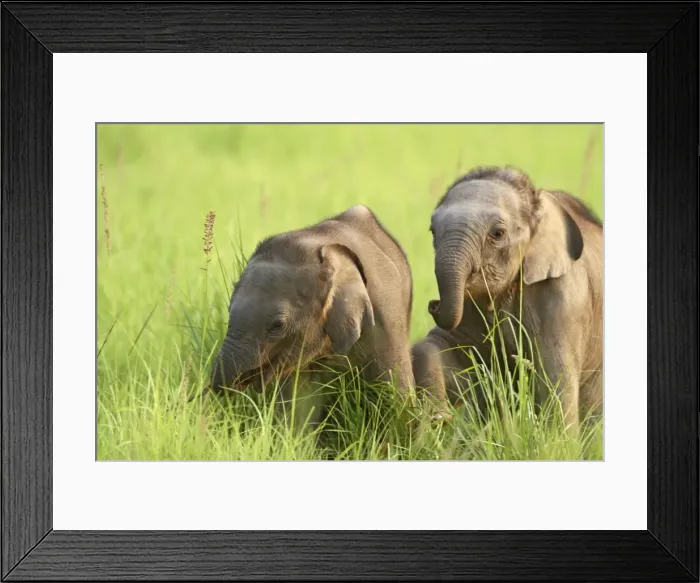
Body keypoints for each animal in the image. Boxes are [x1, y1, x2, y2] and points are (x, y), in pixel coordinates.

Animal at [411, 166, 603, 434]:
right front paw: (437, 418)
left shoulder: (566, 299)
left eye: (498, 233)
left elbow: (556, 378)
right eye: (432, 231)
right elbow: (442, 345)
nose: (433, 304)